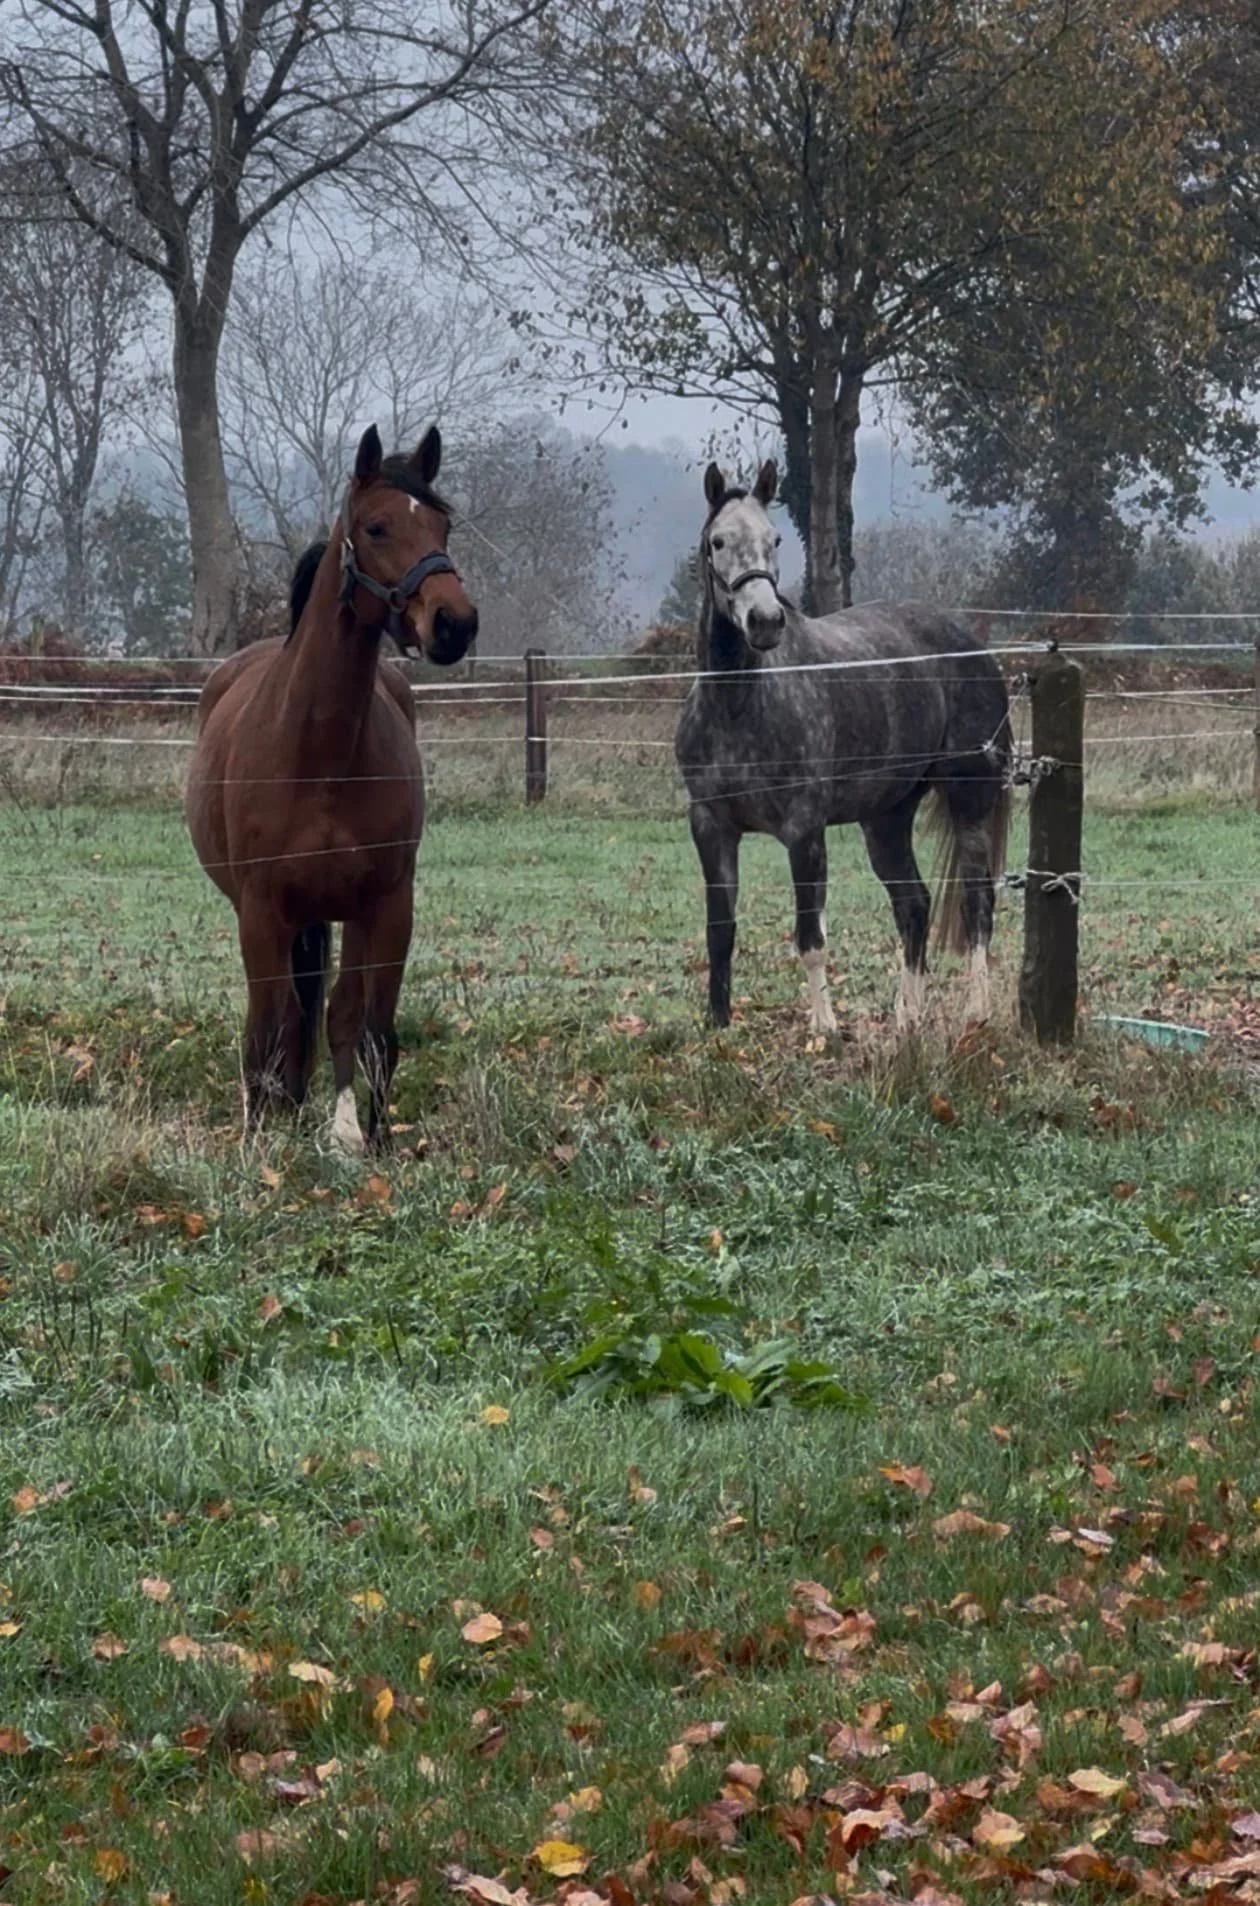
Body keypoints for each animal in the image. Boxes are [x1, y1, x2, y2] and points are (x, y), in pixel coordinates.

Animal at [185, 423, 478, 1152]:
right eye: (375, 527)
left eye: (444, 524)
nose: (454, 623)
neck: (318, 754)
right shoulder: (261, 912)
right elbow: (266, 1027)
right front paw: (255, 1144)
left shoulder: (388, 904)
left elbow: (368, 1027)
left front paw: (363, 1139)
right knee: (286, 1015)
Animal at [675, 460, 1011, 1036]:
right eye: (717, 541)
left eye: (775, 538)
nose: (765, 622)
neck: (738, 705)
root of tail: (977, 650)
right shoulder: (710, 827)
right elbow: (720, 931)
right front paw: (718, 1024)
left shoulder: (804, 831)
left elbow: (810, 937)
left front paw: (825, 1027)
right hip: (886, 818)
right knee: (914, 905)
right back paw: (907, 1017)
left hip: (969, 802)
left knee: (977, 903)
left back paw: (976, 1011)